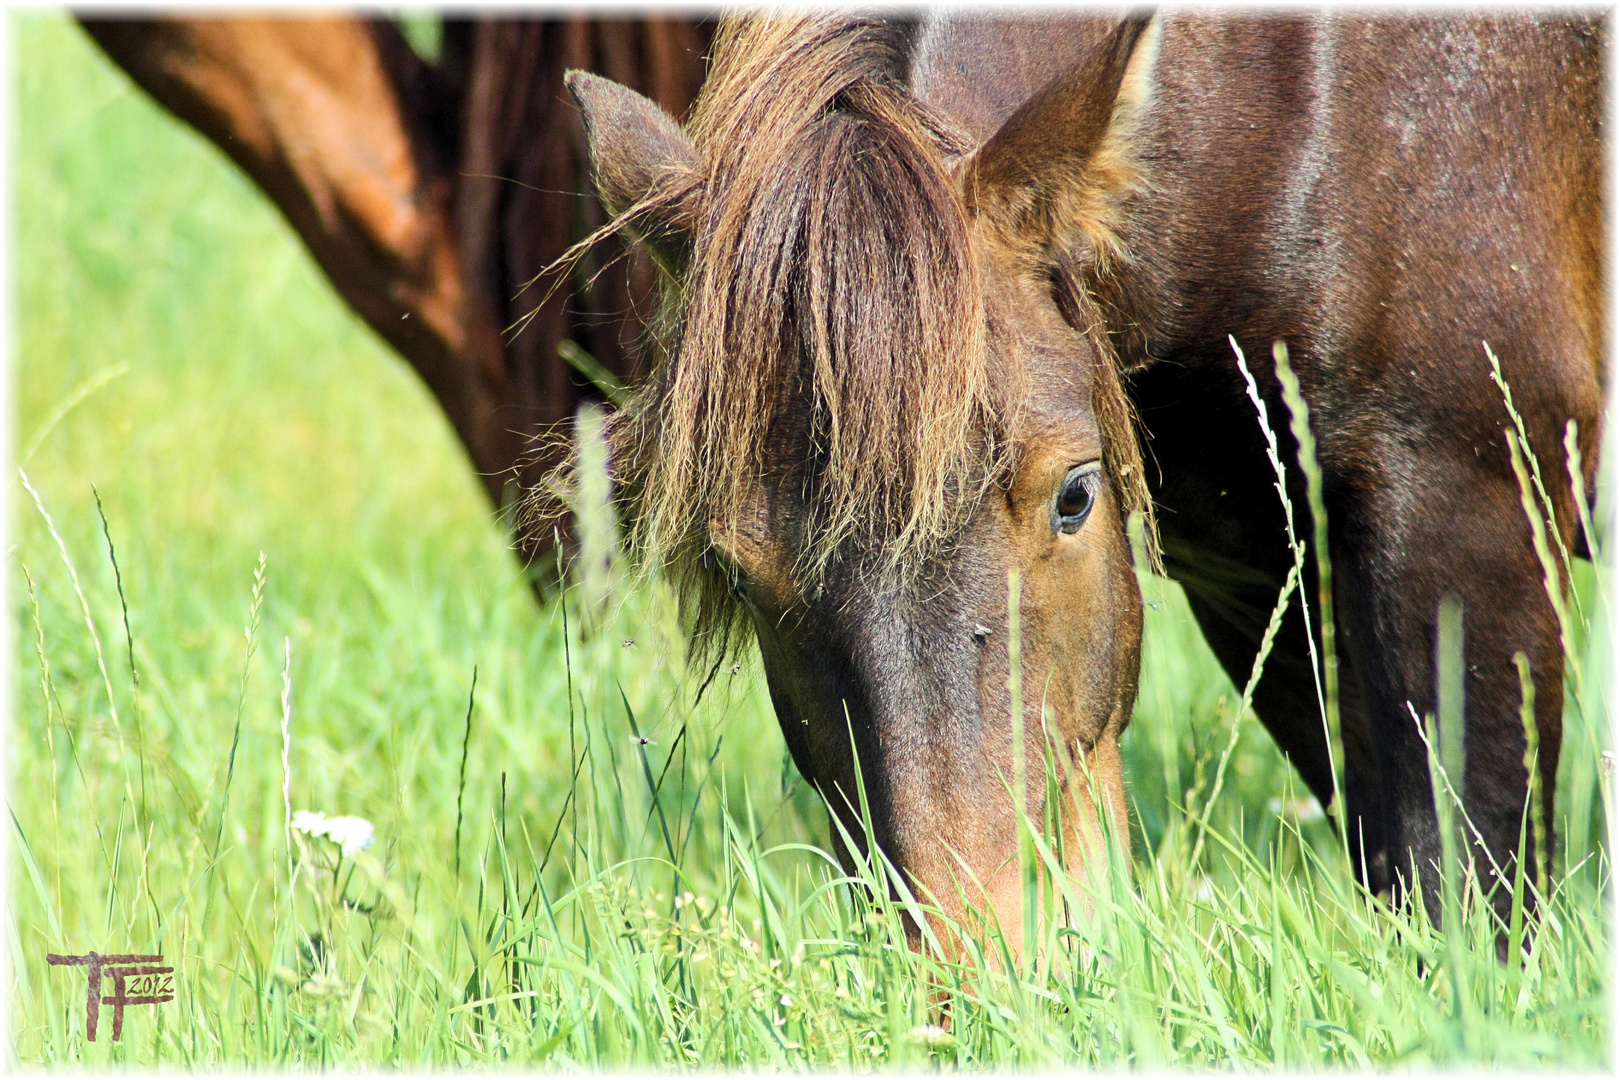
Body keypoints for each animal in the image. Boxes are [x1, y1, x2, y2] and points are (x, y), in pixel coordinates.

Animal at [576, 12, 1600, 952]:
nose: (986, 968)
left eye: (1074, 495)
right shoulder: (1257, 570)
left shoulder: (1465, 512)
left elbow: (1465, 885)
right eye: (738, 570)